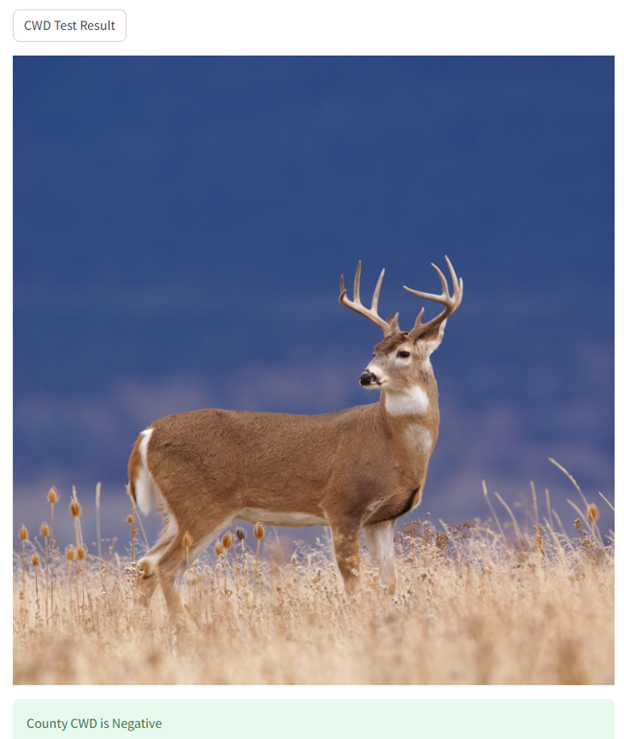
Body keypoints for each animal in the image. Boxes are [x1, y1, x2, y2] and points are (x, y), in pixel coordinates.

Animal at [127, 258, 460, 616]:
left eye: (403, 353)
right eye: (374, 350)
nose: (366, 376)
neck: (393, 447)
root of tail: (147, 434)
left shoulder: (382, 518)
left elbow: (389, 583)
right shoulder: (342, 503)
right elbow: (354, 583)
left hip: (174, 512)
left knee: (146, 565)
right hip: (201, 505)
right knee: (166, 567)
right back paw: (182, 624)